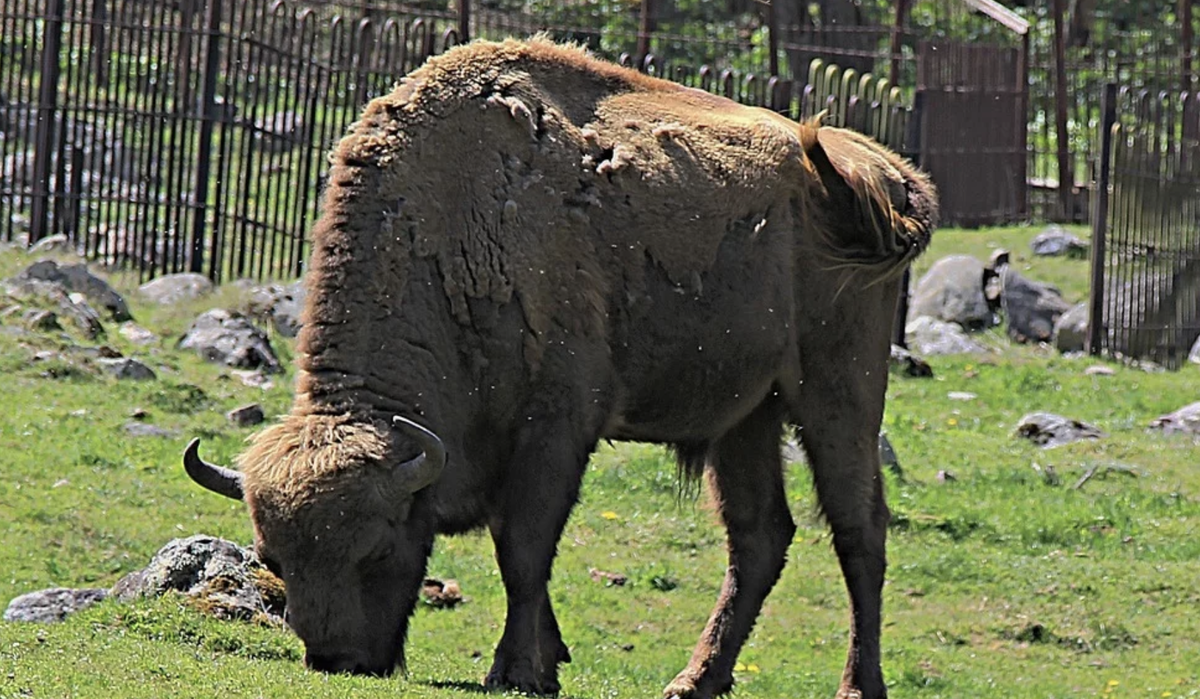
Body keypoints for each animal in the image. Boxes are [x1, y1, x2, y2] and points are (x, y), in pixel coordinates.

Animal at [184, 38, 936, 699]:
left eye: (376, 548)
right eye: (273, 560)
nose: (336, 659)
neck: (452, 219)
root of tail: (885, 175)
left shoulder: (556, 424)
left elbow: (523, 549)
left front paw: (516, 669)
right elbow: (518, 550)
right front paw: (548, 661)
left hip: (838, 395)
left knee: (859, 531)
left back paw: (857, 684)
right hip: (746, 417)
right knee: (758, 539)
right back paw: (693, 680)